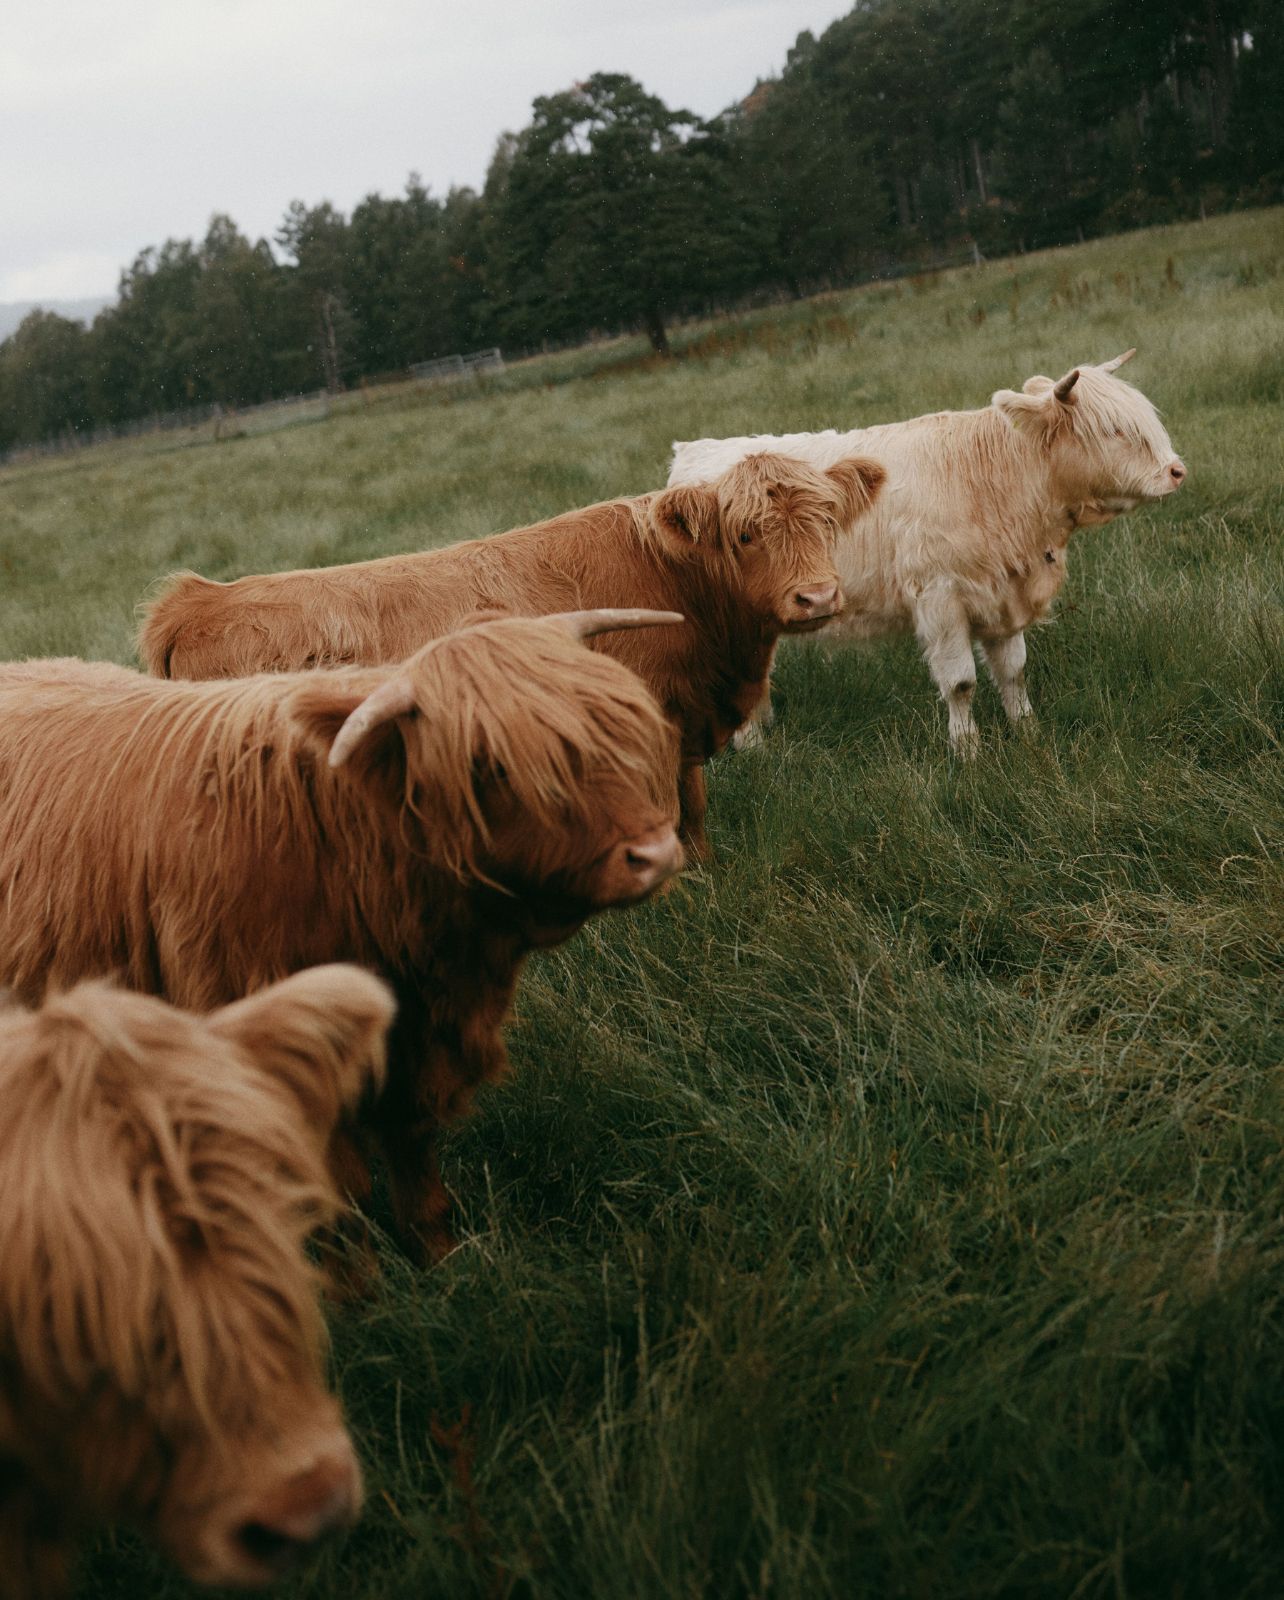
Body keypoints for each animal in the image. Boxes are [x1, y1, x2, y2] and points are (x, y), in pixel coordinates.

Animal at [0, 610, 683, 1266]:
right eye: (491, 766)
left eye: (613, 724)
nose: (656, 853)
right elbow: (340, 1206)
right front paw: (363, 1290)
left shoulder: (419, 1044)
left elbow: (417, 1170)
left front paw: (444, 1263)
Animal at [137, 452, 886, 859]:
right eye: (746, 534)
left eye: (825, 519)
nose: (818, 596)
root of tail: (200, 600)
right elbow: (666, 817)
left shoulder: (680, 728)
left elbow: (693, 811)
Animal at [668, 350, 1187, 752]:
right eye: (1113, 430)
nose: (1177, 471)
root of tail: (691, 454)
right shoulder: (940, 599)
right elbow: (961, 683)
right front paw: (968, 752)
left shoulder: (1002, 596)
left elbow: (1014, 674)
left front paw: (1029, 735)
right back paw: (752, 746)